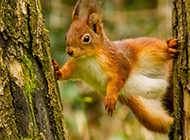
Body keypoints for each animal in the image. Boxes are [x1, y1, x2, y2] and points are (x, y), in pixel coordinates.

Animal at [51, 0, 178, 135]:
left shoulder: (119, 62)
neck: (88, 58)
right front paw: (57, 70)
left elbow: (118, 78)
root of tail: (165, 83)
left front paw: (110, 98)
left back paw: (169, 48)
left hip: (149, 49)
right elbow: (66, 73)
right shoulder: (75, 66)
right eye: (66, 36)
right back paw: (172, 124)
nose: (69, 51)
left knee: (160, 49)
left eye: (86, 38)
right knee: (161, 122)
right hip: (145, 111)